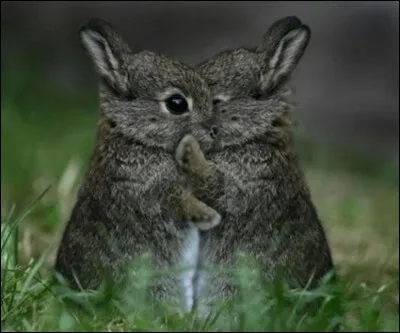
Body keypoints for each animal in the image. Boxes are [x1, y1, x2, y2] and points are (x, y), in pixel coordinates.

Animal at [53, 17, 222, 312]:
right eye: (176, 104)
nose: (213, 131)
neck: (136, 138)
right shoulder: (159, 189)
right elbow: (184, 202)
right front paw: (210, 218)